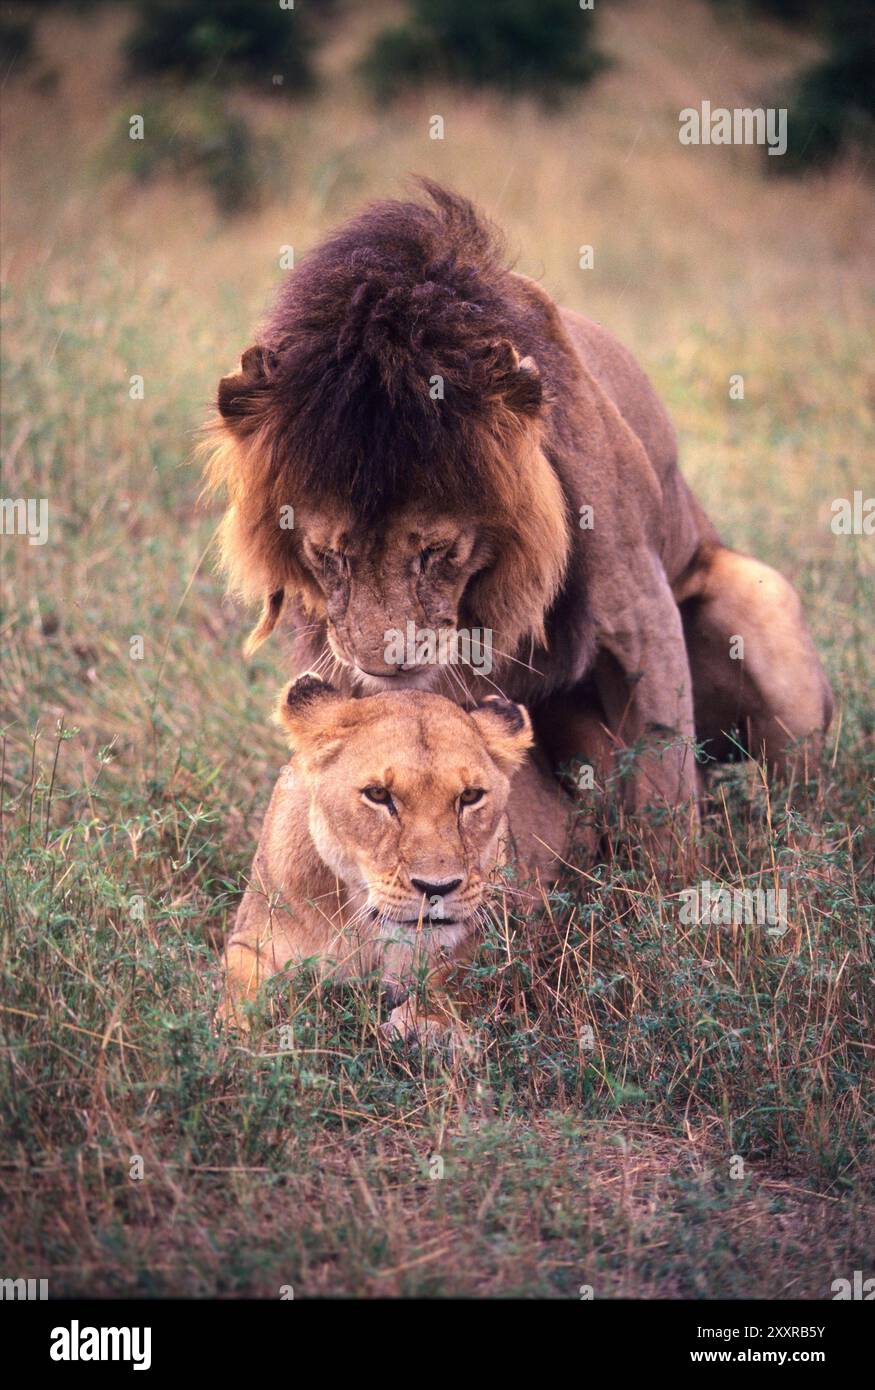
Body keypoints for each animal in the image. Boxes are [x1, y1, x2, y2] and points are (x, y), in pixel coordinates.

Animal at [204, 181, 832, 826]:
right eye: (329, 556)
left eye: (437, 551)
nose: (385, 668)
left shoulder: (639, 607)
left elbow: (665, 779)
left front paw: (675, 855)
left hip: (762, 597)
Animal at [219, 676, 571, 1045]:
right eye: (377, 794)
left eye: (471, 796)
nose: (436, 888)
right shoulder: (252, 942)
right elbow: (241, 988)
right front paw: (238, 1039)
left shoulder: (507, 941)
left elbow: (459, 976)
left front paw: (424, 1024)